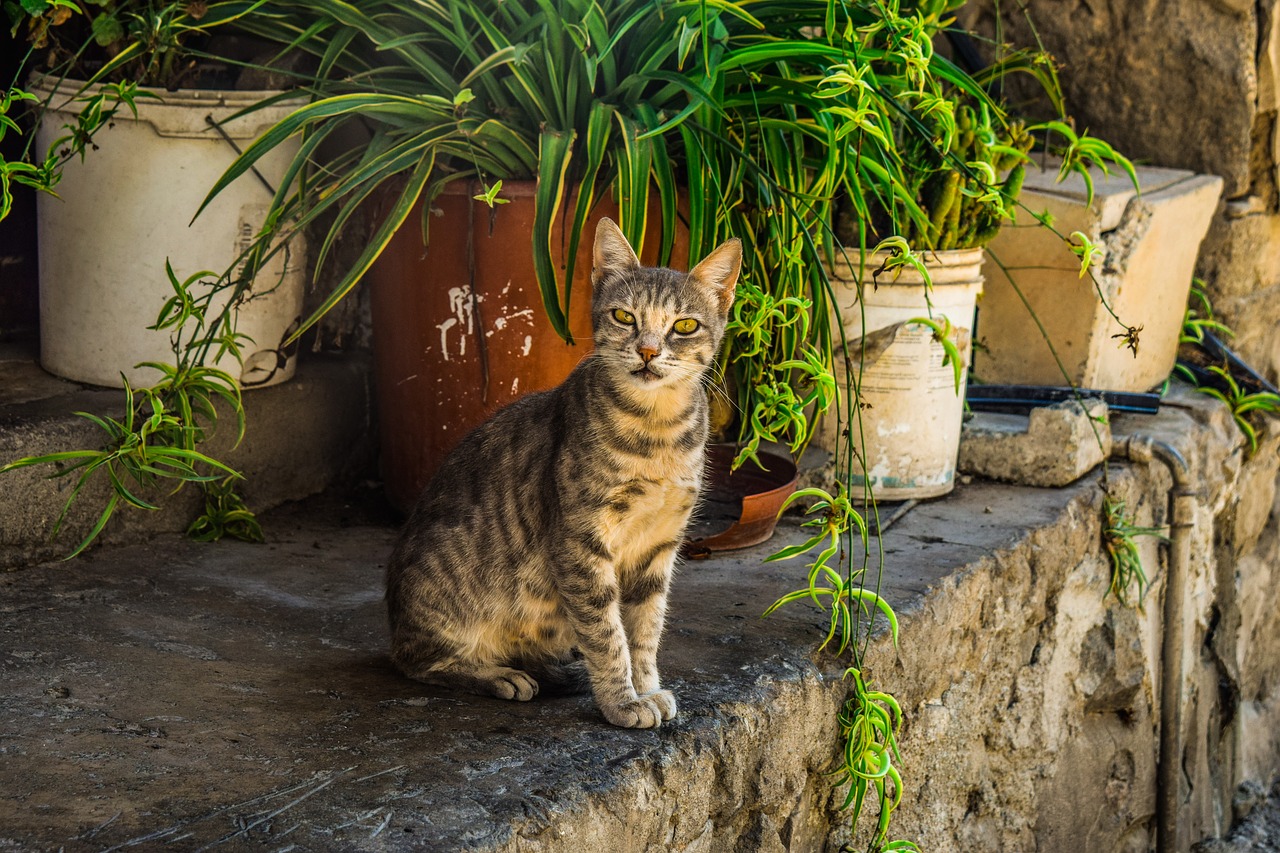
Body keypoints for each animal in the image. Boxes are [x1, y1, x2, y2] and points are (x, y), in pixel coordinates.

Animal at [381, 217, 742, 722]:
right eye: (624, 317)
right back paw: (498, 675)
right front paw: (621, 702)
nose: (648, 351)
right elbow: (608, 635)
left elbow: (645, 632)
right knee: (416, 660)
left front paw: (646, 688)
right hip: (445, 596)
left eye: (684, 325)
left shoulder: (659, 546)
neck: (657, 433)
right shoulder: (580, 541)